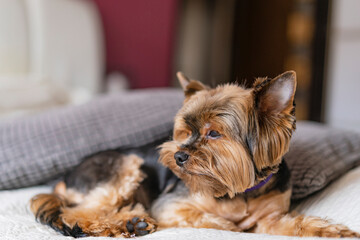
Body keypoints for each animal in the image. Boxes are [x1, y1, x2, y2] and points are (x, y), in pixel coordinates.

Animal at [31, 70, 360, 237]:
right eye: (184, 131)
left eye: (213, 133)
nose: (177, 156)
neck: (237, 191)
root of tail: (64, 178)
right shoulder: (170, 205)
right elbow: (210, 219)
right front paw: (232, 225)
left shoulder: (272, 216)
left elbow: (292, 224)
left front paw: (331, 230)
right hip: (124, 167)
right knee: (76, 214)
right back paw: (125, 223)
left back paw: (130, 222)